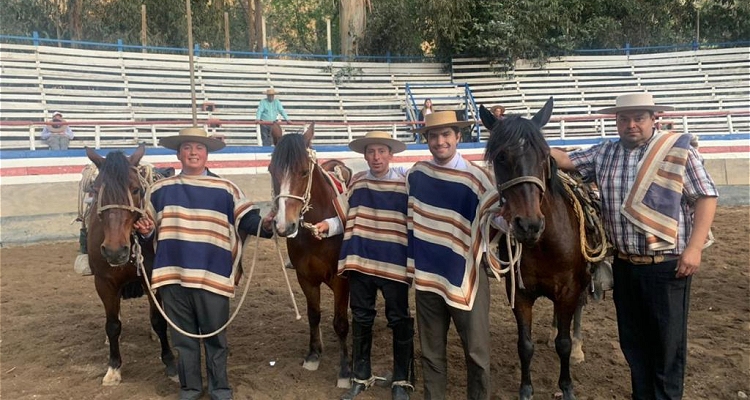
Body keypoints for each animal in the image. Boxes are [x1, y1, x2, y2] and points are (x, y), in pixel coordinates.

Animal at [85, 144, 178, 384]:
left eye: (136, 190)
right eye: (96, 190)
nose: (115, 251)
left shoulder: (151, 277)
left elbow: (158, 320)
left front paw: (170, 363)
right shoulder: (104, 283)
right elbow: (112, 325)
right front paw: (113, 368)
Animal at [268, 124, 354, 388]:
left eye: (305, 172)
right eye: (271, 170)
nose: (284, 225)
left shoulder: (341, 280)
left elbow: (340, 323)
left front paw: (345, 370)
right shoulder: (305, 278)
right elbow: (313, 315)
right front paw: (313, 354)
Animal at [482, 97, 592, 400]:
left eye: (544, 156)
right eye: (501, 157)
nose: (529, 224)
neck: (545, 244)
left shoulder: (568, 290)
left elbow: (564, 344)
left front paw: (567, 387)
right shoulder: (520, 294)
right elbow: (525, 345)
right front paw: (526, 389)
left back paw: (579, 348)